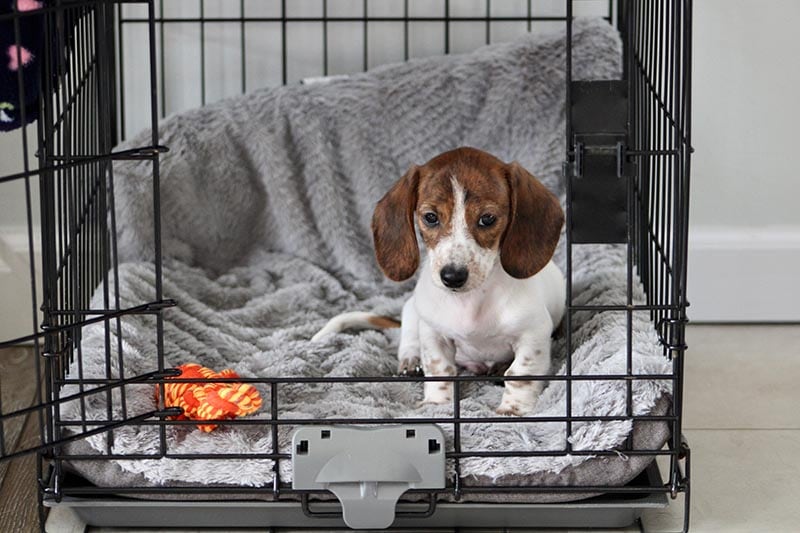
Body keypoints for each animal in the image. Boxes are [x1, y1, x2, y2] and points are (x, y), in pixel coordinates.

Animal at [310, 147, 564, 416]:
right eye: (430, 217)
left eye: (487, 219)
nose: (452, 276)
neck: (472, 300)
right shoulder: (434, 334)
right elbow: (439, 368)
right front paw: (438, 404)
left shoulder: (532, 334)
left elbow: (521, 373)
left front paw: (512, 409)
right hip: (412, 310)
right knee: (409, 339)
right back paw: (410, 362)